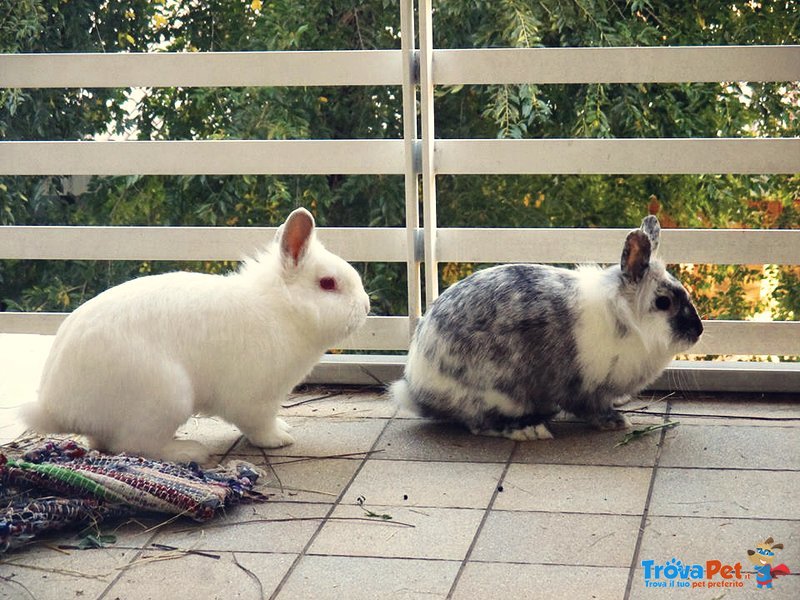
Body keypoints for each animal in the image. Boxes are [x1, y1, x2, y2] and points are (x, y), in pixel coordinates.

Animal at [22, 209, 372, 462]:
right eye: (328, 284)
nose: (367, 306)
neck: (280, 308)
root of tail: (56, 407)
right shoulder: (255, 400)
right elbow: (260, 426)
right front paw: (281, 439)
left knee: (105, 442)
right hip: (168, 397)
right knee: (134, 446)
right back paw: (189, 451)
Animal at [392, 216, 700, 440]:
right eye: (663, 302)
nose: (697, 331)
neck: (624, 319)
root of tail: (416, 387)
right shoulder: (586, 388)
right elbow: (591, 408)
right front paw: (615, 422)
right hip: (494, 394)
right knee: (480, 424)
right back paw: (529, 431)